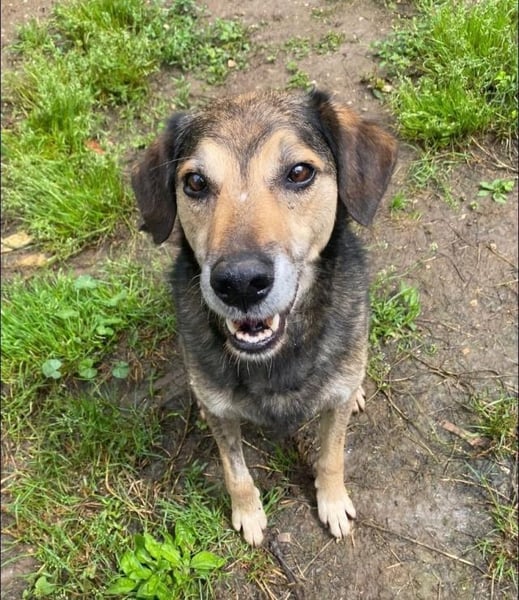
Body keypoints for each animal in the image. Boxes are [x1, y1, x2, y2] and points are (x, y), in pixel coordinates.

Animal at [132, 89, 397, 546]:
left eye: (299, 172)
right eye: (195, 182)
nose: (240, 283)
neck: (276, 357)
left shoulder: (336, 405)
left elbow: (331, 455)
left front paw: (331, 502)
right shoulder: (221, 413)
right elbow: (235, 471)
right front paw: (249, 514)